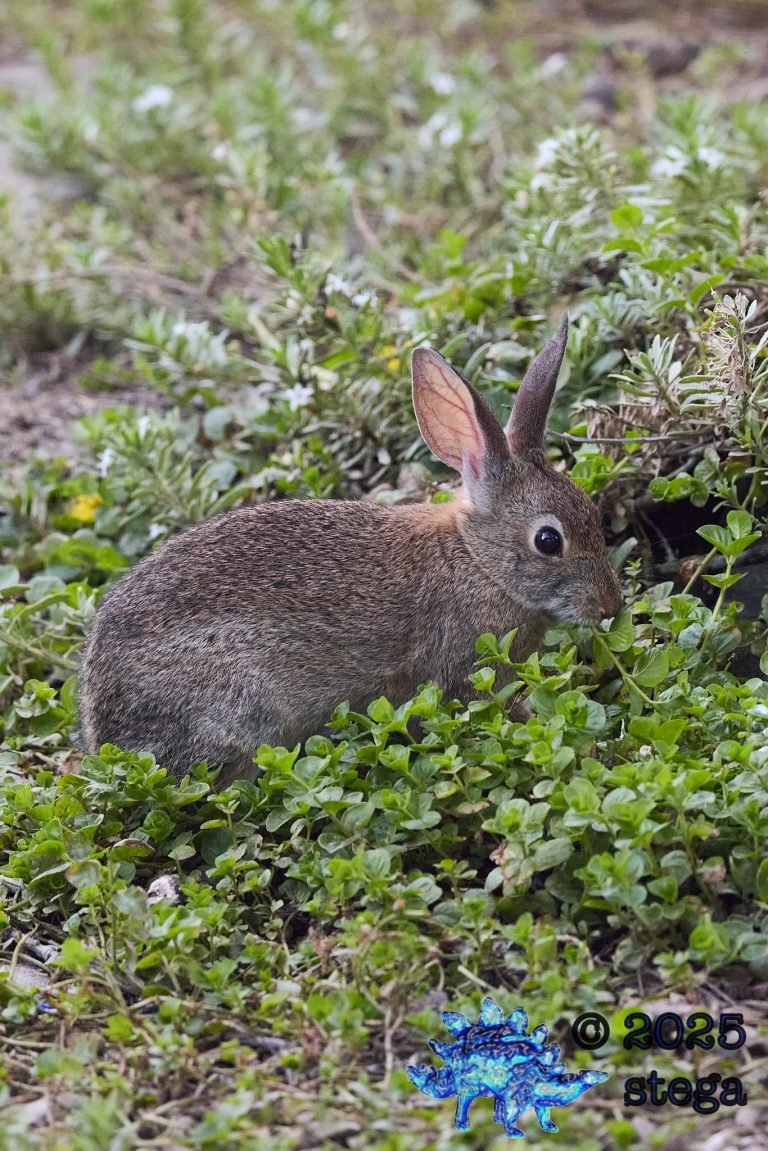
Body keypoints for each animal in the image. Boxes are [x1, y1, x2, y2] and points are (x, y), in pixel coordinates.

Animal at [77, 315, 622, 783]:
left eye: (594, 515)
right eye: (548, 541)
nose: (611, 606)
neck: (477, 560)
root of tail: (103, 726)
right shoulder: (467, 668)